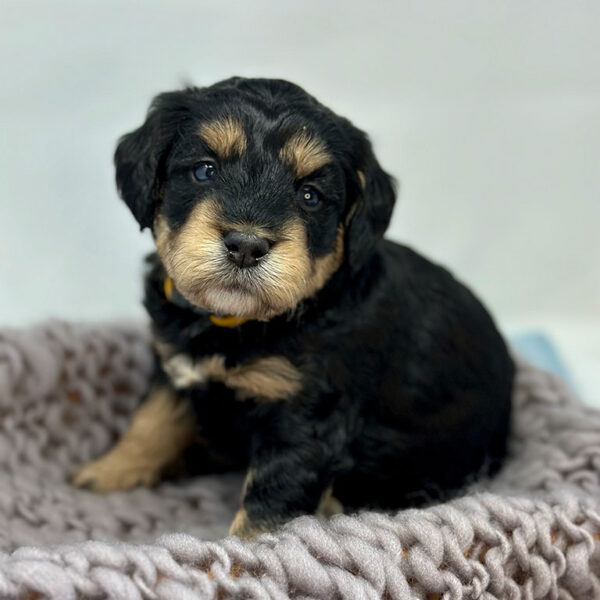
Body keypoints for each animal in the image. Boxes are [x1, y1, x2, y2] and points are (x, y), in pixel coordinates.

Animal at [74, 76, 516, 540]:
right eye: (203, 170)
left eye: (310, 196)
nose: (246, 246)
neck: (239, 323)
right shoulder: (175, 366)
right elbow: (150, 422)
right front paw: (106, 472)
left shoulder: (305, 419)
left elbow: (269, 501)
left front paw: (242, 551)